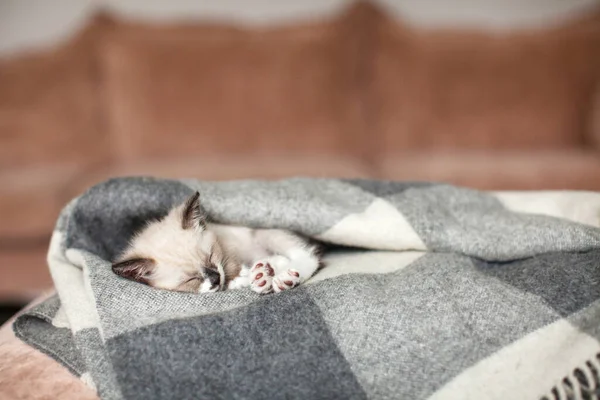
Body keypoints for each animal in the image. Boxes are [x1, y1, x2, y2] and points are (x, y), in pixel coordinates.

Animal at [110, 192, 322, 296]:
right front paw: (257, 275)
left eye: (211, 256)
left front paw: (252, 276)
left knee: (308, 257)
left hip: (268, 233)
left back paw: (284, 278)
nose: (214, 278)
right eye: (191, 279)